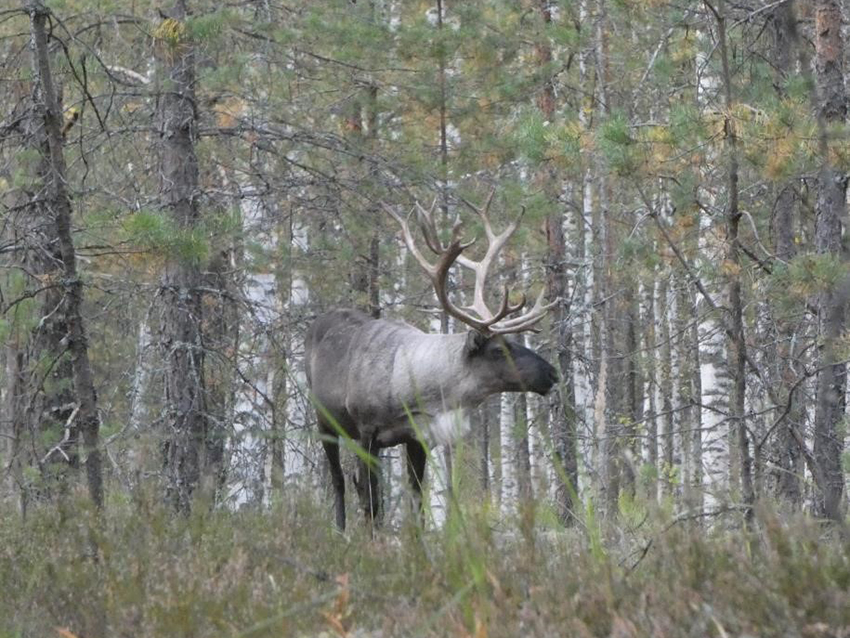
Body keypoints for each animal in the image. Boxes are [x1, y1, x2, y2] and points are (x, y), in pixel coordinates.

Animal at [305, 191, 558, 531]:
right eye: (497, 350)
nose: (553, 373)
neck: (422, 390)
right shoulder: (367, 432)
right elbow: (373, 502)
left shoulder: (417, 439)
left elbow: (417, 503)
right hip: (325, 422)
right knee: (339, 480)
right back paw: (341, 529)